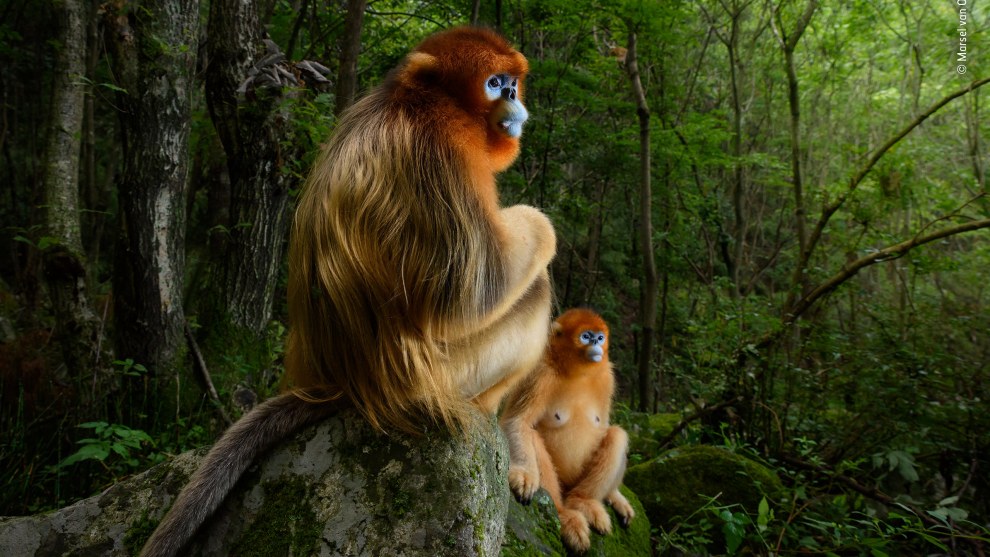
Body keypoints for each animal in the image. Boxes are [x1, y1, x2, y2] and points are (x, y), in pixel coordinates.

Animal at [140, 27, 555, 557]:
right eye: (494, 82)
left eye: (512, 82)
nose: (512, 97)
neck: (414, 100)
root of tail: (341, 384)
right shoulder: (443, 146)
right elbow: (474, 292)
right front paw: (539, 223)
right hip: (447, 374)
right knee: (533, 289)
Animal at [500, 308, 634, 553]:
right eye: (586, 336)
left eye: (600, 337)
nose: (596, 343)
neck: (578, 373)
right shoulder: (540, 373)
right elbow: (517, 421)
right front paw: (524, 474)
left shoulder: (607, 377)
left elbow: (604, 426)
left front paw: (615, 495)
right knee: (532, 436)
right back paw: (564, 515)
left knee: (616, 435)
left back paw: (585, 502)